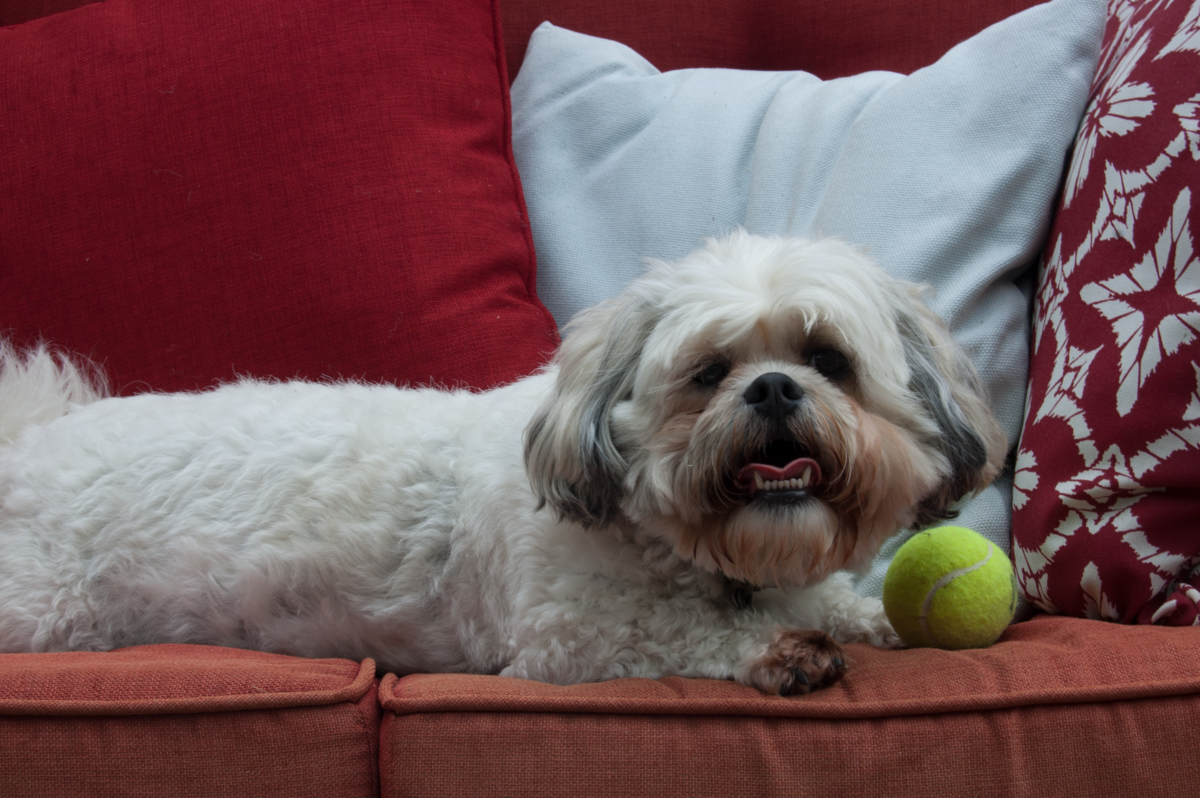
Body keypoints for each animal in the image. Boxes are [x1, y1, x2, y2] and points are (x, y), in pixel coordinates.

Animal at [0, 229, 1003, 691]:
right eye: (709, 373)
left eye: (827, 359)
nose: (773, 389)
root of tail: (27, 438)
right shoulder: (573, 635)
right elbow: (686, 634)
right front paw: (785, 652)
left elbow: (841, 603)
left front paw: (869, 618)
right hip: (43, 615)